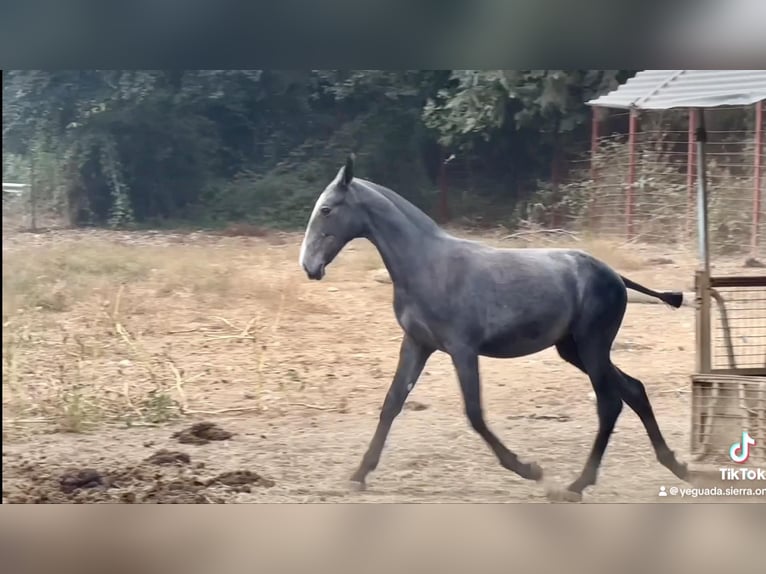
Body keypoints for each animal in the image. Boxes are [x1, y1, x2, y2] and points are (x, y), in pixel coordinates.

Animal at [298, 155, 688, 502]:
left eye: (327, 210)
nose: (309, 266)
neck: (427, 266)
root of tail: (615, 276)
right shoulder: (417, 344)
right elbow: (392, 403)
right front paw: (358, 474)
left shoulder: (462, 349)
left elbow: (474, 413)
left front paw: (529, 469)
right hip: (573, 349)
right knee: (633, 390)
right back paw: (676, 466)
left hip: (592, 346)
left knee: (609, 403)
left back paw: (576, 486)